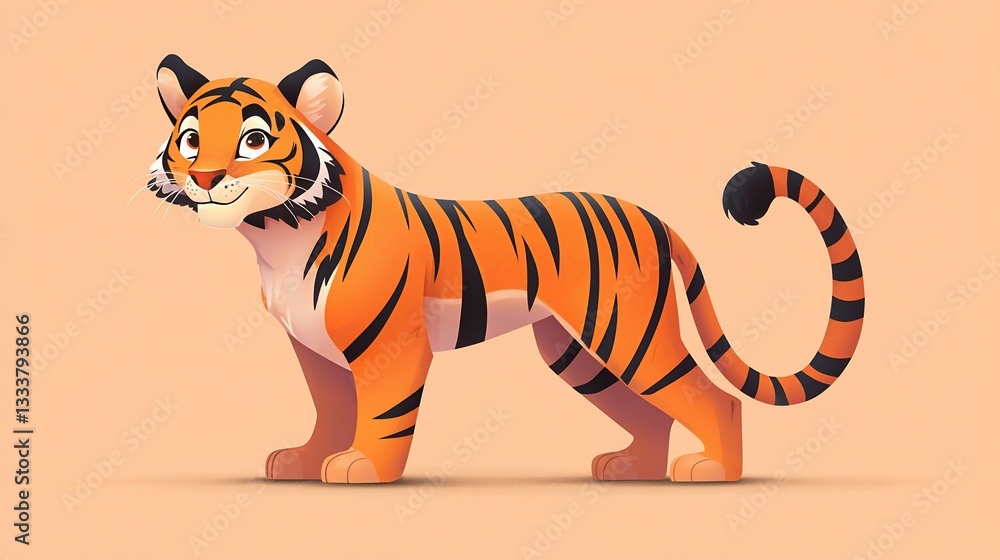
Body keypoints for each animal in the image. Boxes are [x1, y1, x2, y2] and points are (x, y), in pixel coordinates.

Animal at [145, 54, 864, 484]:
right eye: (190, 138)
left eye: (253, 140)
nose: (203, 176)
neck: (276, 234)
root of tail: (657, 220)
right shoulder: (313, 344)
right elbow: (331, 407)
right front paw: (303, 459)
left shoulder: (390, 345)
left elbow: (381, 413)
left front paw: (363, 468)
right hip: (576, 351)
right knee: (653, 413)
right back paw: (630, 466)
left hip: (629, 336)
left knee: (709, 397)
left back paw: (713, 470)